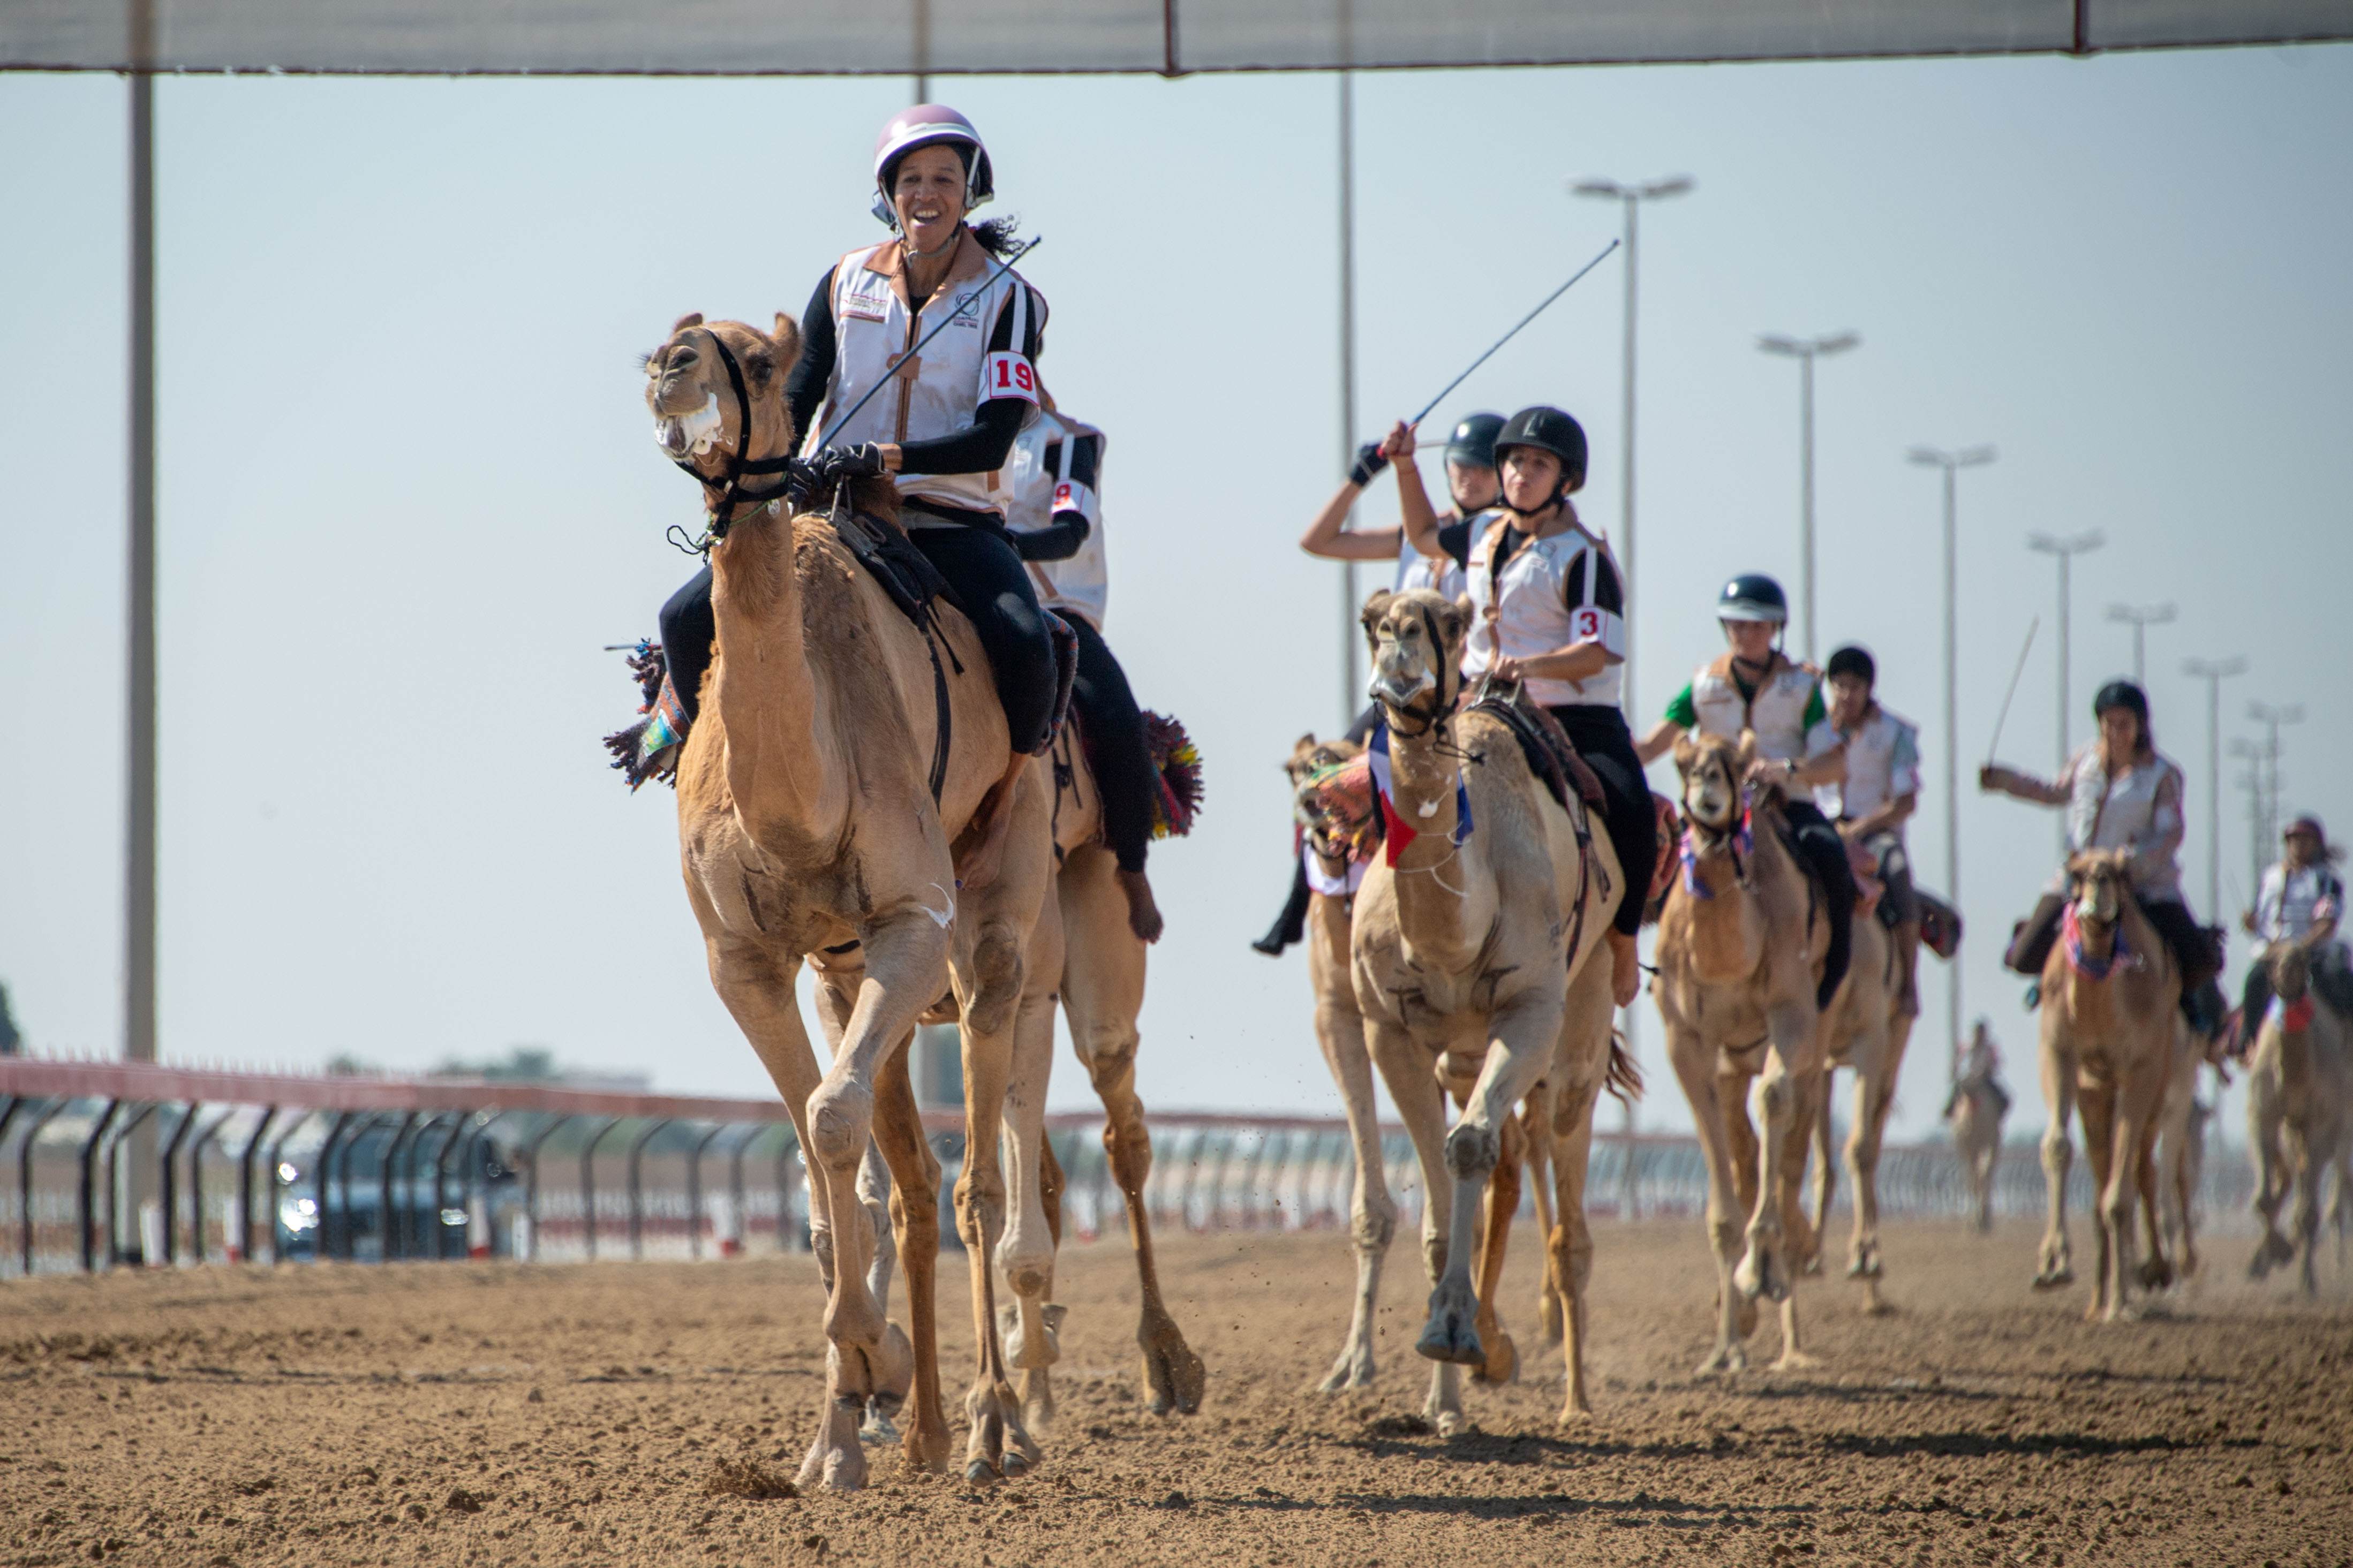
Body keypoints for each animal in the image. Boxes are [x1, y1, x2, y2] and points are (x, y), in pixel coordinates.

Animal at [640, 310, 1054, 1495]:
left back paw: (990, 1428)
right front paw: (837, 1429)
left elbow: (830, 1120)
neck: (799, 803)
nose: (671, 369)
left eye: (756, 358)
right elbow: (823, 1171)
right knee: (907, 1181)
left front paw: (878, 1368)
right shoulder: (746, 957)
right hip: (845, 970)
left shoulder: (910, 923)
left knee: (980, 1182)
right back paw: (919, 1430)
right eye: (674, 342)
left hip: (998, 914)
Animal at [1346, 592, 1638, 1438]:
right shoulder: (1387, 1029)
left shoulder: (1530, 1008)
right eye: (1372, 622)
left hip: (1583, 1011)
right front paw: (1447, 1384)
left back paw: (1574, 1399)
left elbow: (1469, 1146)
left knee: (1565, 1208)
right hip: (1461, 1051)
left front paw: (1454, 1330)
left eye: (1445, 621)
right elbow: (1444, 1212)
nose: (1398, 668)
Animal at [1647, 738, 1826, 1373]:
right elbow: (1718, 1158)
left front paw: (1762, 1268)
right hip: (1733, 1063)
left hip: (1818, 1040)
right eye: (1684, 761)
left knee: (1793, 1139)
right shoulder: (1684, 1040)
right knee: (1746, 1146)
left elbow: (1774, 1100)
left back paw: (1790, 1270)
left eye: (1736, 760)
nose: (1707, 783)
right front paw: (1724, 1348)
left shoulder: (1793, 1012)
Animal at [2033, 851, 2174, 1316]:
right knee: (2104, 1174)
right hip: (2095, 1095)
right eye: (2074, 872)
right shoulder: (2058, 1052)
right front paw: (2053, 1262)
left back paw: (2149, 1275)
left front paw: (2124, 1304)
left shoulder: (2141, 1068)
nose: (2098, 883)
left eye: (2122, 870)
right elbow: (2057, 1147)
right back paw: (2099, 1300)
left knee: (2141, 1167)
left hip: (2163, 1076)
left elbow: (2121, 1190)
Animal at [2240, 940, 2353, 1298]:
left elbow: (2308, 1212)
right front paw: (2270, 1257)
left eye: (2304, 957)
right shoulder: (2262, 1114)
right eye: (2273, 958)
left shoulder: (2322, 1122)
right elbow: (2263, 1199)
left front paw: (2308, 1282)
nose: (2288, 966)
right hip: (2293, 1129)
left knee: (2331, 1188)